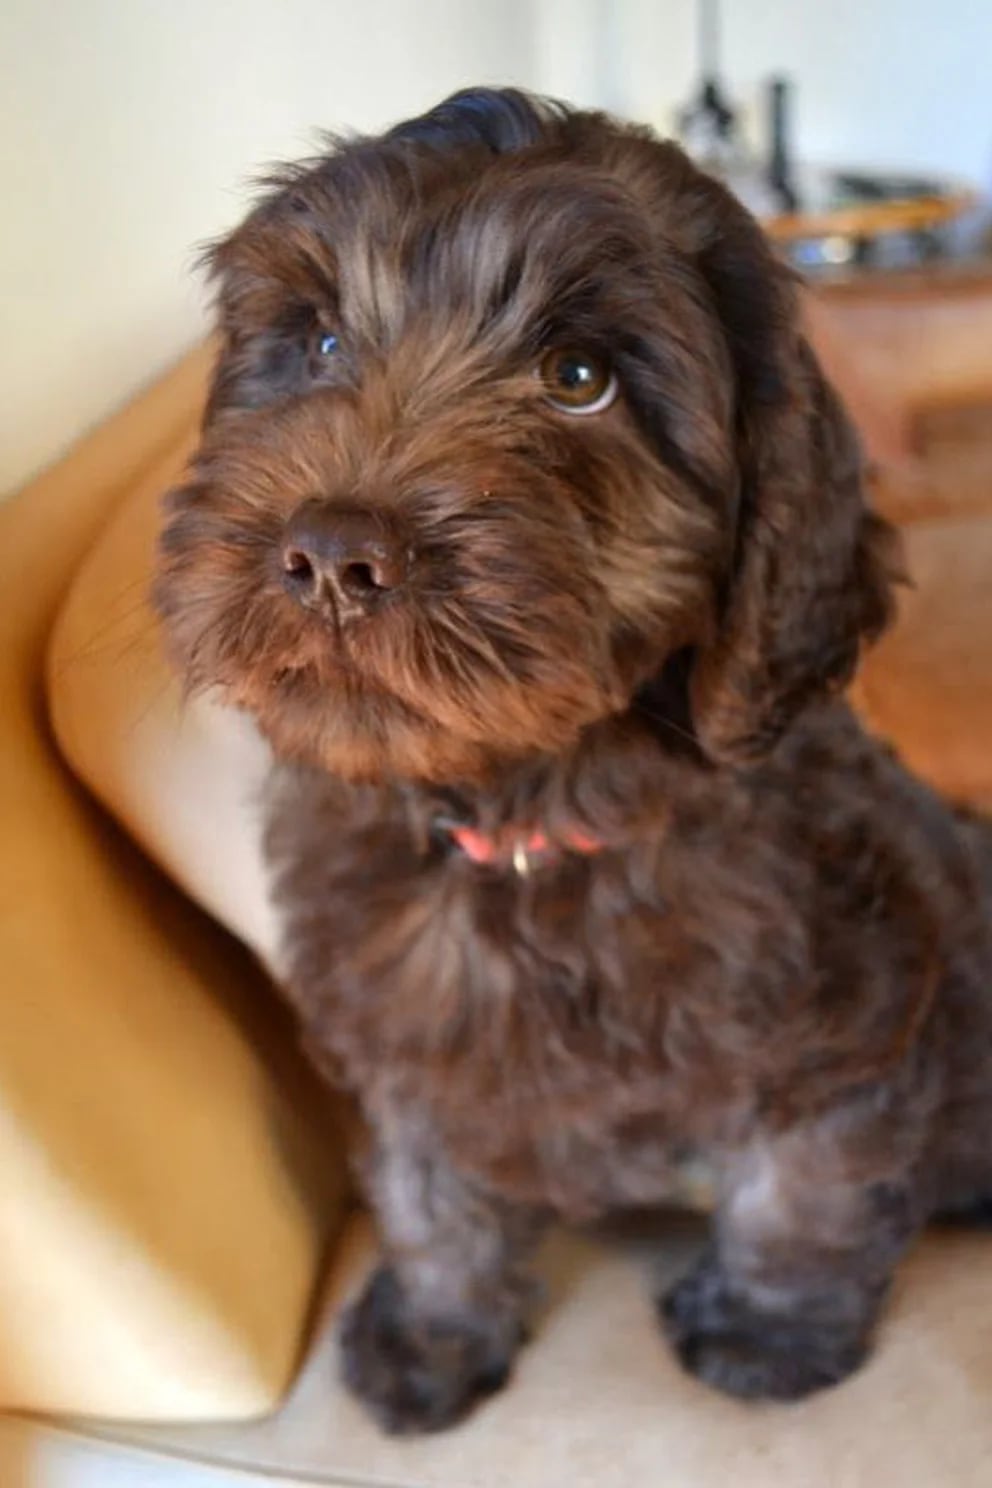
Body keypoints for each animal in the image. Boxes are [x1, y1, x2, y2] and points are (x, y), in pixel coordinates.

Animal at [155, 90, 992, 1428]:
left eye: (579, 378)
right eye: (320, 342)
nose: (329, 553)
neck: (526, 826)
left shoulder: (861, 1019)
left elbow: (802, 1186)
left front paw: (764, 1331)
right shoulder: (401, 1037)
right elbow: (425, 1188)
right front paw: (435, 1328)